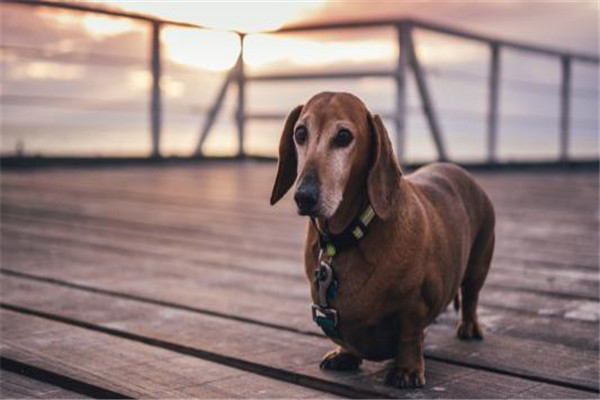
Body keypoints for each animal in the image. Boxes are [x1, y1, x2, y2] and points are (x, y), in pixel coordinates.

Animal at [270, 93, 494, 388]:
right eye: (300, 133)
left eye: (343, 136)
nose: (304, 197)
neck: (347, 237)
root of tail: (463, 173)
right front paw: (344, 354)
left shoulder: (415, 304)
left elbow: (410, 336)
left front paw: (407, 370)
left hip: (479, 264)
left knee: (470, 297)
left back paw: (468, 327)